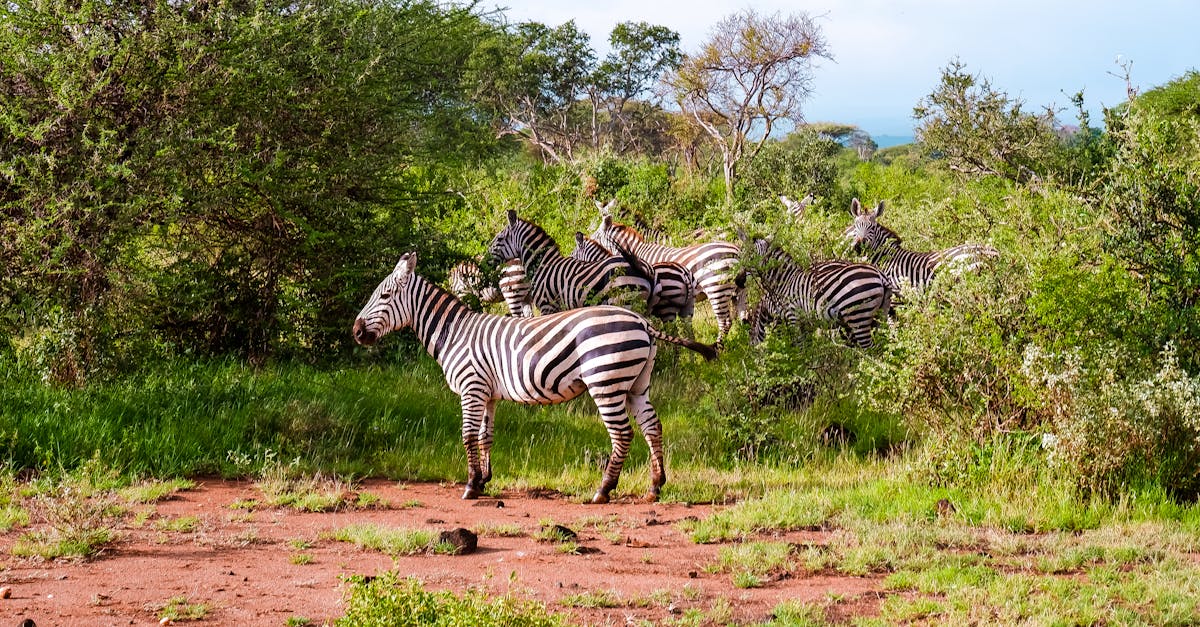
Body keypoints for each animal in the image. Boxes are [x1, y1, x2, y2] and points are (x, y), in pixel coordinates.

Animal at [352, 252, 717, 503]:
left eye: (384, 296)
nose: (356, 332)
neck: (454, 333)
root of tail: (641, 322)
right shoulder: (488, 393)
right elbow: (485, 437)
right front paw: (484, 480)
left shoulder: (471, 388)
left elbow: (467, 436)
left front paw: (470, 486)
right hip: (636, 385)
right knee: (652, 427)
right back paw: (655, 486)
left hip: (605, 381)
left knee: (622, 433)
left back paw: (603, 490)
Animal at [488, 211, 654, 316]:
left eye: (499, 239)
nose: (486, 260)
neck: (543, 265)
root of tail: (637, 269)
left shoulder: (547, 305)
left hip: (623, 301)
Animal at [591, 215, 745, 342]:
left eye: (594, 237)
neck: (635, 252)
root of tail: (737, 251)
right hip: (738, 290)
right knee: (744, 317)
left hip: (716, 288)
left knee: (724, 322)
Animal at [748, 238, 892, 348]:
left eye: (749, 256)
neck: (786, 281)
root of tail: (880, 275)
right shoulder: (805, 323)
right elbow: (808, 347)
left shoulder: (792, 317)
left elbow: (800, 347)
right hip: (878, 315)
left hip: (858, 314)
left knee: (869, 348)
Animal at [847, 198, 999, 293]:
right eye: (855, 226)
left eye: (872, 227)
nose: (858, 247)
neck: (888, 258)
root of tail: (992, 251)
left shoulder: (898, 288)